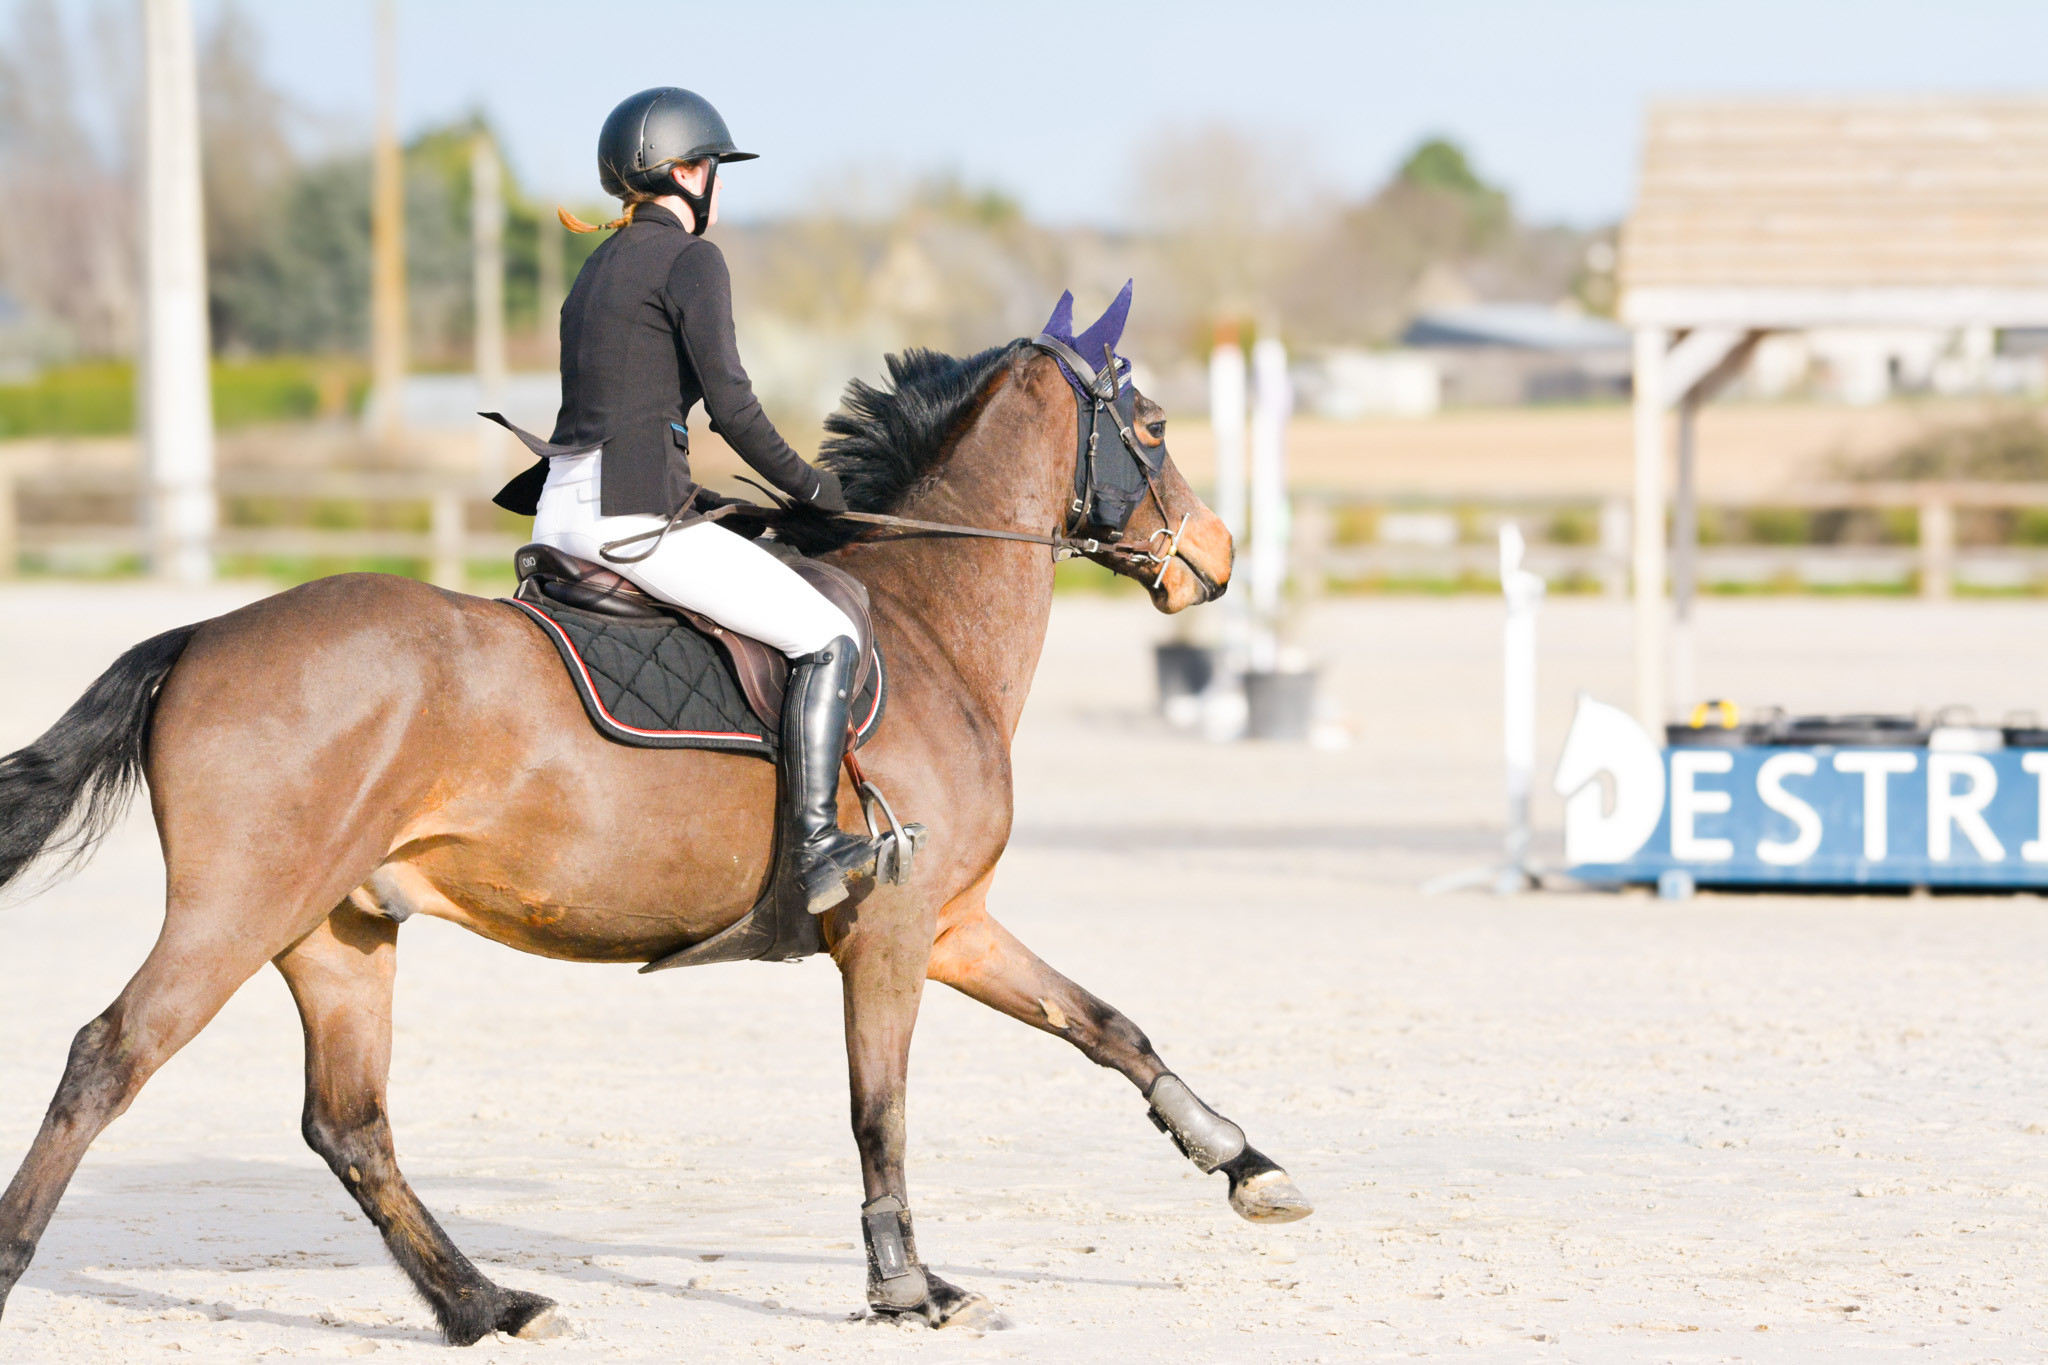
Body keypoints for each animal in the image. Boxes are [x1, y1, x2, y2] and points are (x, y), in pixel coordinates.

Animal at [0, 331, 1311, 1344]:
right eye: (1150, 426)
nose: (1213, 557)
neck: (932, 627)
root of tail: (202, 636)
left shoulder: (953, 924)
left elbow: (1105, 1025)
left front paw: (1244, 1164)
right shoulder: (888, 933)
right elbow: (878, 1111)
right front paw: (907, 1289)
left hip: (338, 927)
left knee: (349, 1123)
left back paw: (488, 1307)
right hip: (241, 908)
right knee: (109, 1057)